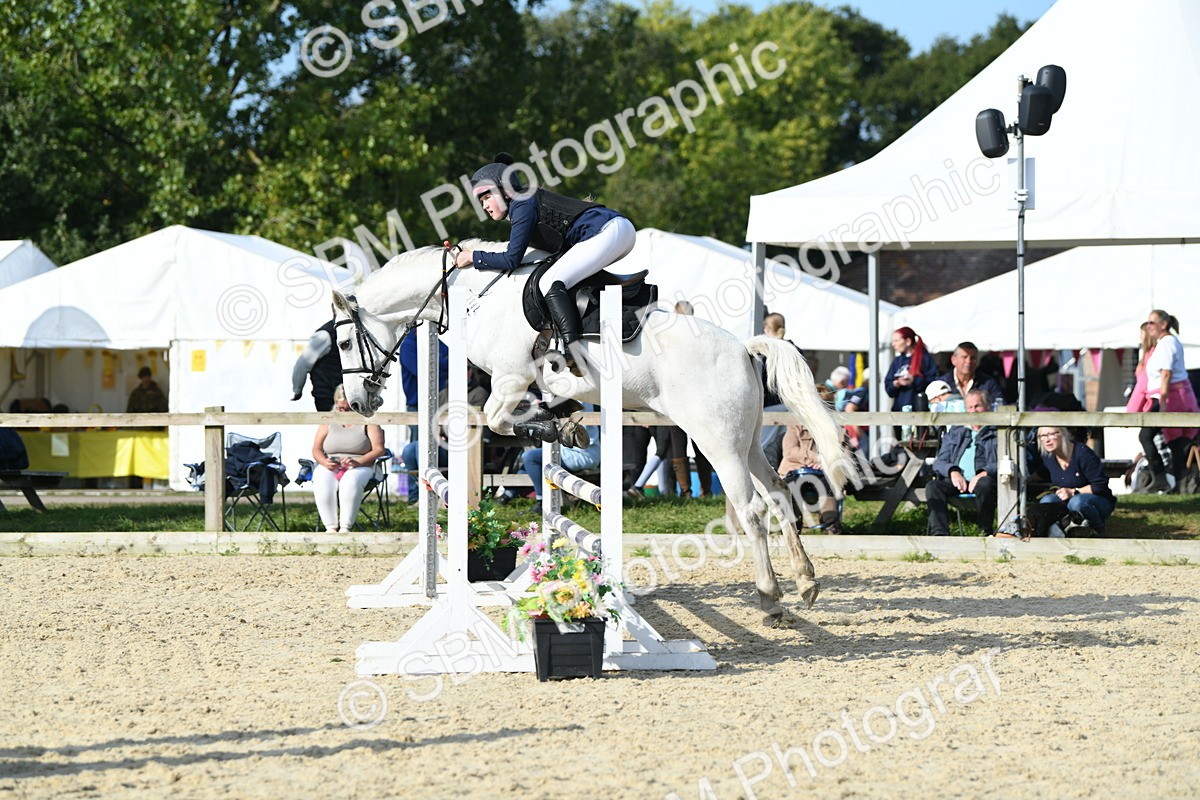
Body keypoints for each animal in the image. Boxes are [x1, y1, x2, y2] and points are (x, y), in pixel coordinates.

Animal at [332, 239, 855, 623]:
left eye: (342, 342)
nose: (359, 403)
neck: (473, 297)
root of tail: (744, 348)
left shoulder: (509, 379)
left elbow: (500, 419)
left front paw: (560, 430)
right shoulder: (522, 384)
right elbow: (518, 418)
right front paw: (563, 427)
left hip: (717, 443)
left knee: (751, 511)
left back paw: (769, 599)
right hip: (747, 443)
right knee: (780, 495)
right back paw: (806, 582)